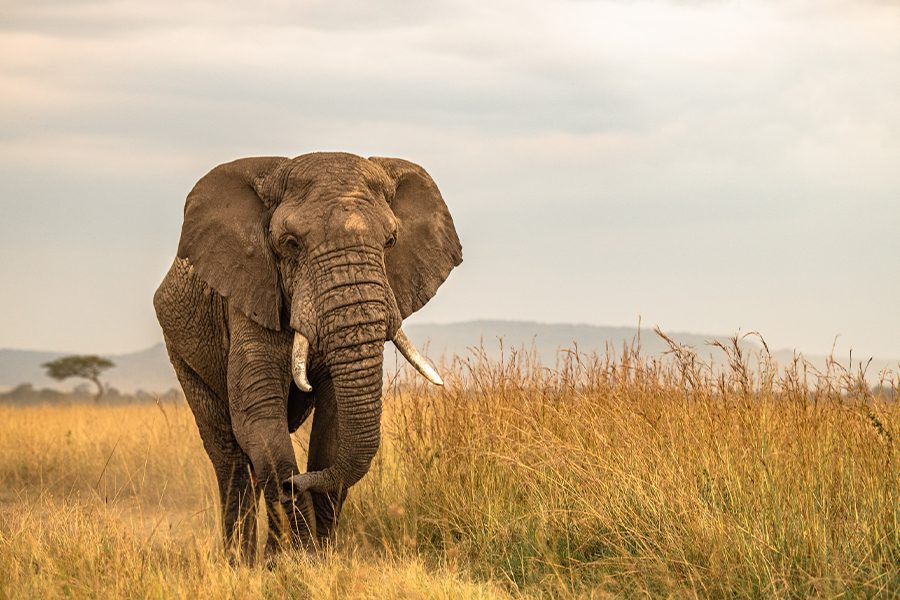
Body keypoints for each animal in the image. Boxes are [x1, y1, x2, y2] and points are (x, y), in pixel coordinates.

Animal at [153, 152, 462, 558]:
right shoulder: (250, 293)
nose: (295, 483)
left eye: (391, 241)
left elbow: (332, 429)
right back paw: (240, 562)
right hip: (182, 352)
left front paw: (318, 556)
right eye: (290, 243)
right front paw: (296, 557)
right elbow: (259, 417)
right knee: (231, 457)